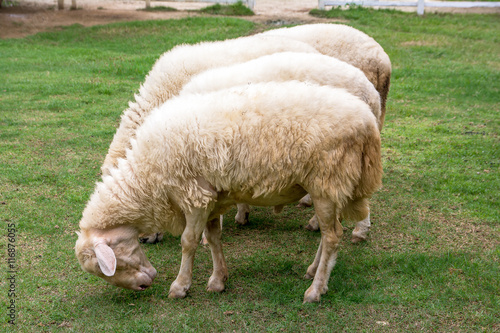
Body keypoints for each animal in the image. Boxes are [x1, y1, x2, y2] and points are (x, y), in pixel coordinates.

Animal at [75, 81, 382, 304]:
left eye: (108, 265)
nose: (144, 285)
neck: (146, 178)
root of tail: (367, 121)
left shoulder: (194, 196)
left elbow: (188, 242)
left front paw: (180, 286)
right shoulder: (212, 196)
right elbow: (213, 238)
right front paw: (218, 280)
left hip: (327, 181)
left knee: (332, 237)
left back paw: (316, 290)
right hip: (332, 186)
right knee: (330, 232)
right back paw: (312, 271)